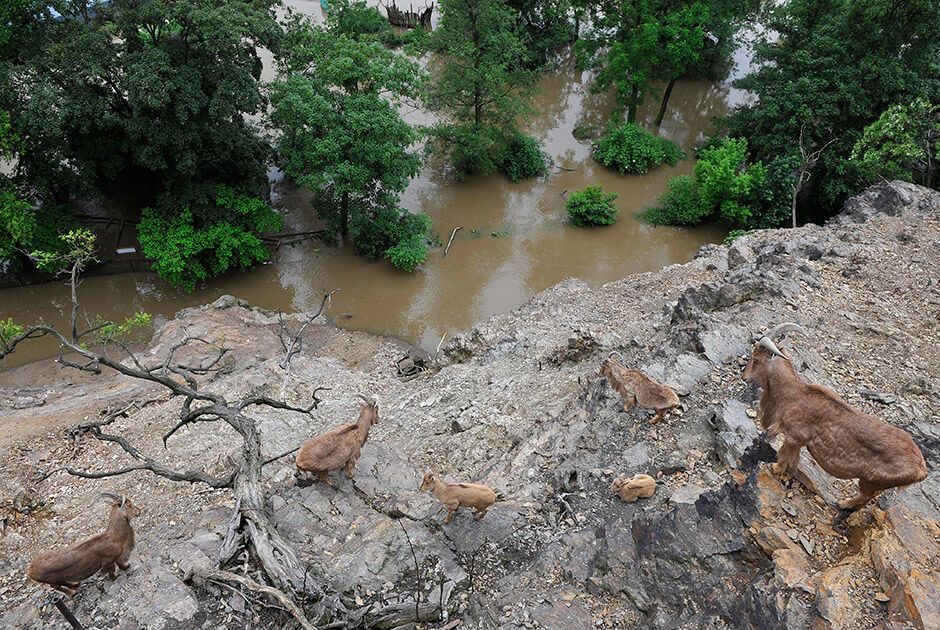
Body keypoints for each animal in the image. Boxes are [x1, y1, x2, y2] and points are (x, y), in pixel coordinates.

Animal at [744, 324, 928, 512]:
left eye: (756, 359)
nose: (745, 377)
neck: (794, 393)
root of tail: (921, 469)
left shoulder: (794, 437)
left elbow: (784, 456)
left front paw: (775, 468)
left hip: (870, 481)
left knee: (865, 497)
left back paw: (843, 503)